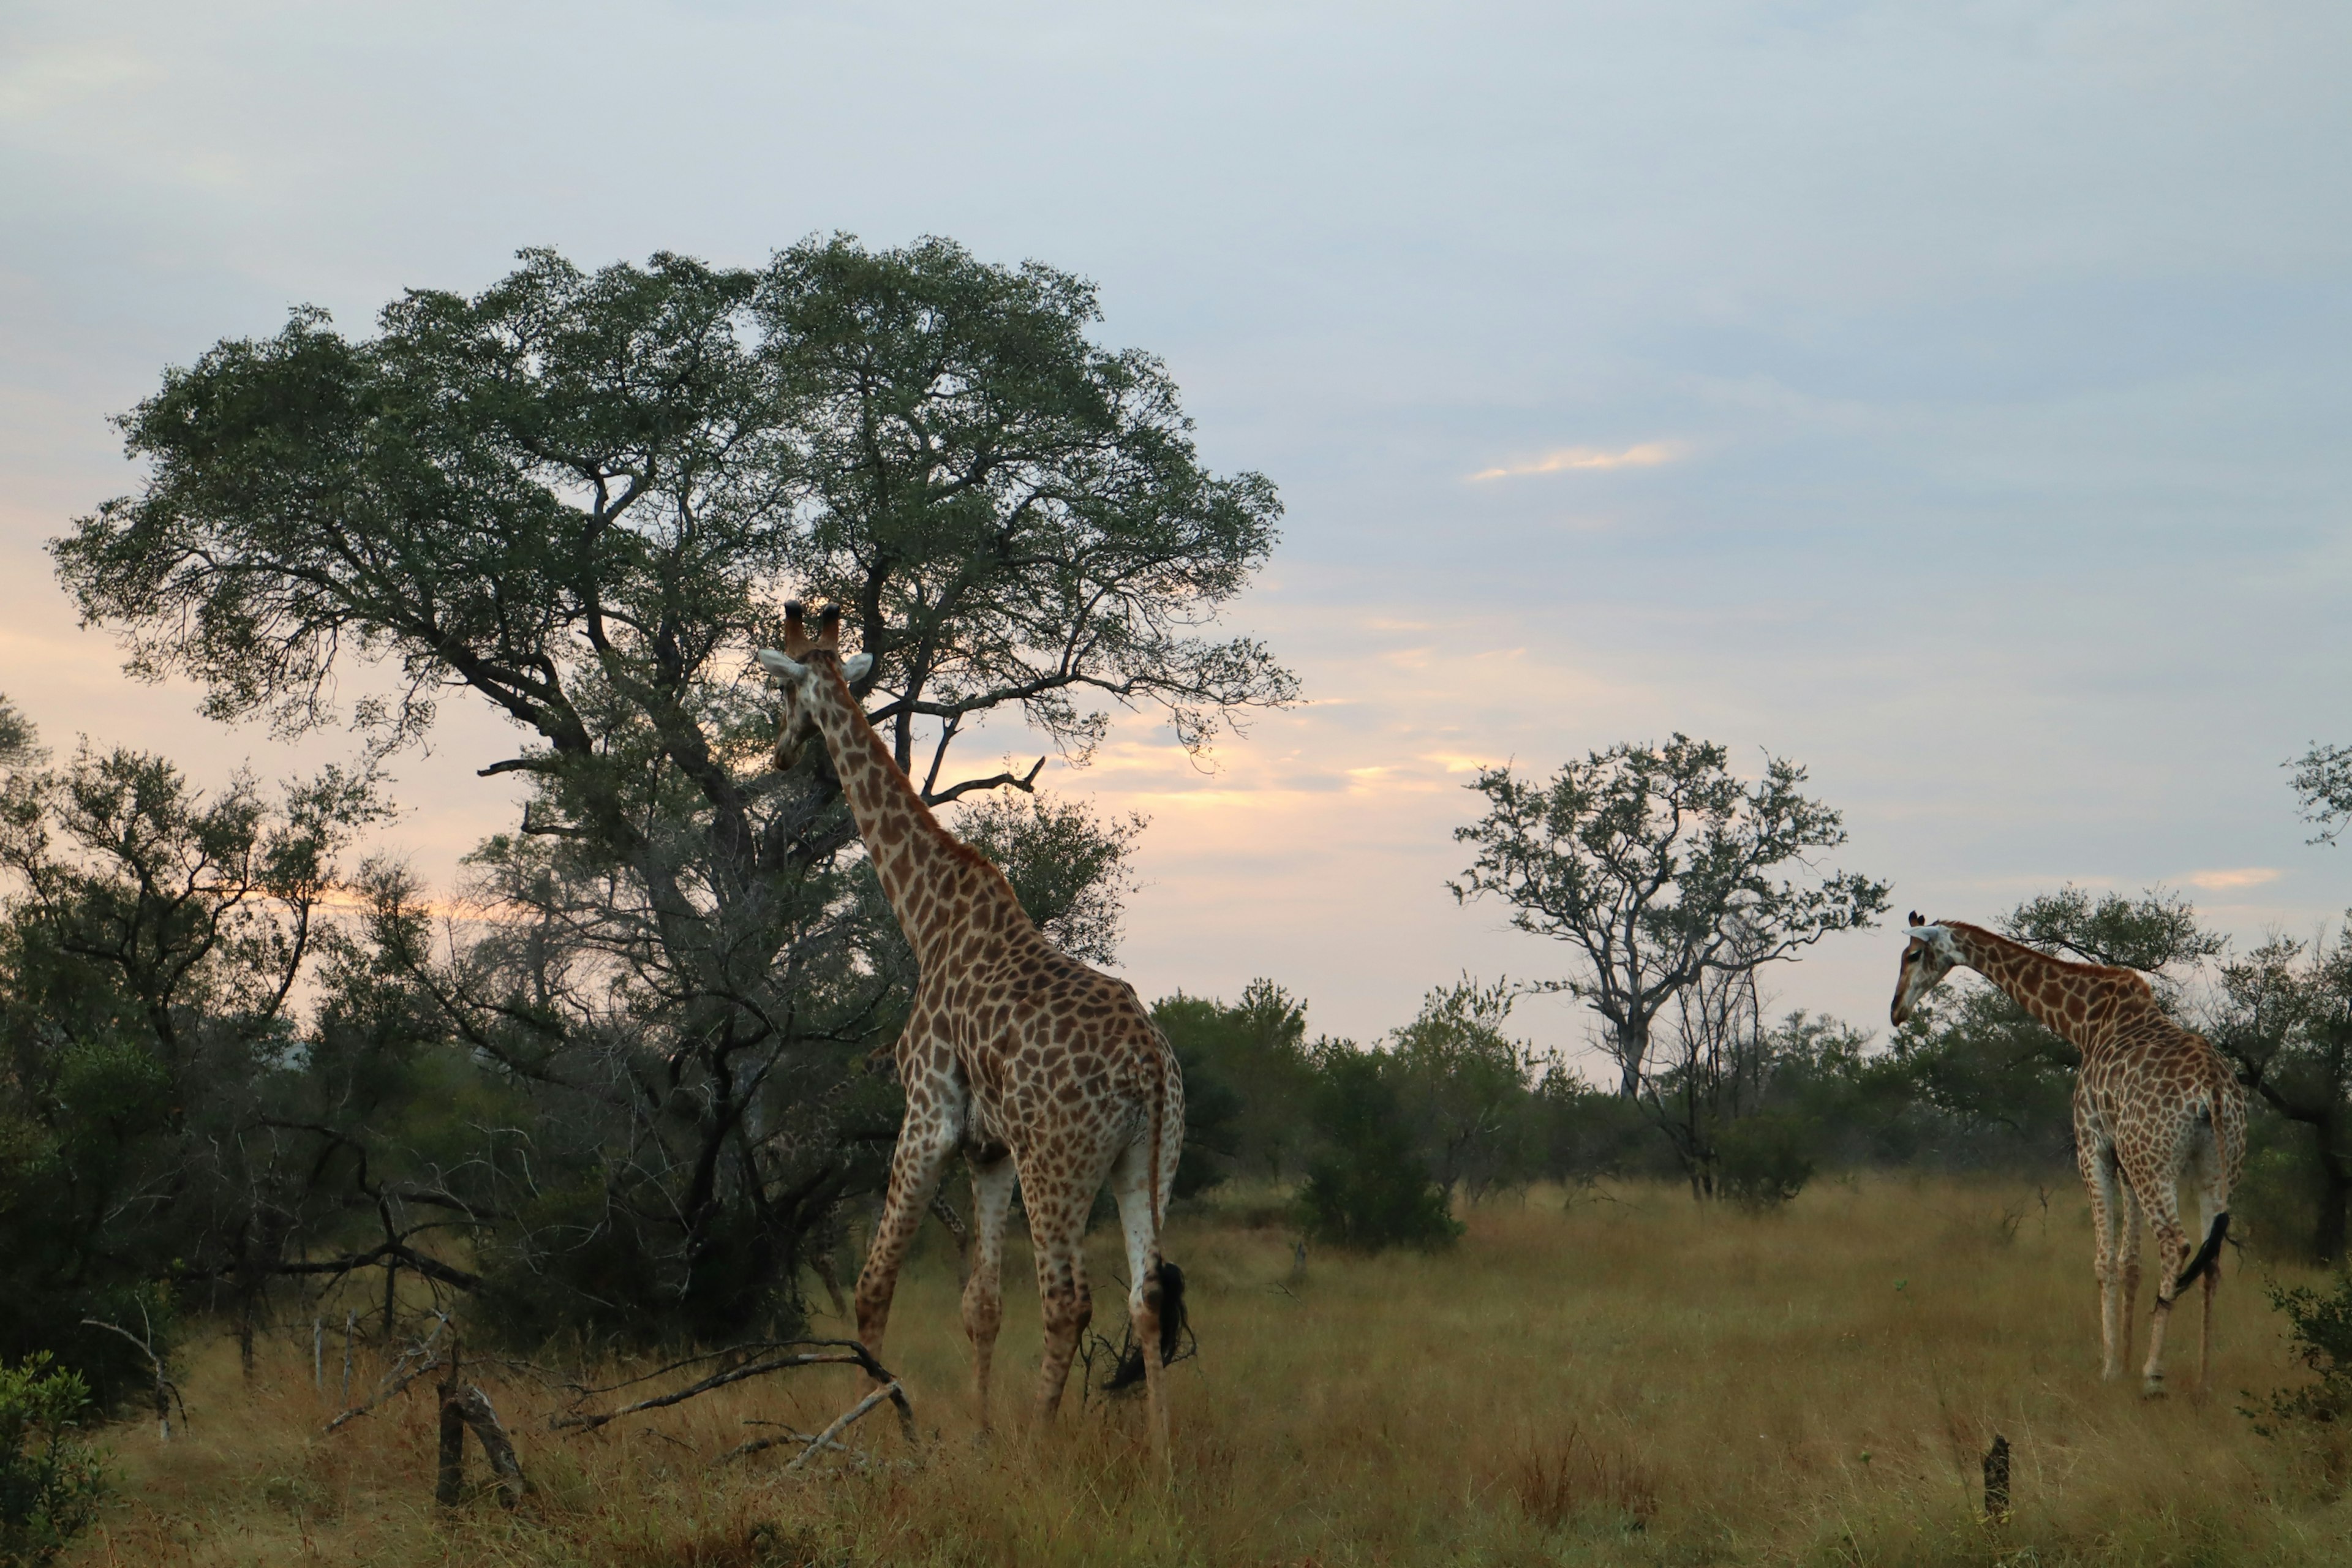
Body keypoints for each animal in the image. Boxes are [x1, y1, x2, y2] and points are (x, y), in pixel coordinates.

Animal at [757, 606, 1185, 1457]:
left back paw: (1039, 1449)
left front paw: (877, 1424)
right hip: (1149, 1159)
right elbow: (980, 1305)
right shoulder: (989, 1149)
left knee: (1069, 1300)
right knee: (1146, 1296)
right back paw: (1159, 1452)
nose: (781, 751)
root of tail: (1150, 1066)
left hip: (1058, 1160)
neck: (928, 918)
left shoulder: (929, 1114)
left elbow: (874, 1286)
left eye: (782, 690)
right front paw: (979, 1434)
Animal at [1882, 912, 2248, 1392]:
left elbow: (2104, 1261)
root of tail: (2213, 1087)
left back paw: (2154, 1376)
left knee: (2177, 1243)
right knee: (2212, 1253)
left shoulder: (2091, 1144)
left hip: (2156, 1160)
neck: (2085, 1021)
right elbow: (2130, 1262)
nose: (1896, 1011)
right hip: (2216, 1162)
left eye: (1912, 955)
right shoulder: (2122, 1155)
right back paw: (2203, 1382)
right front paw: (2123, 1358)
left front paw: (2112, 1368)